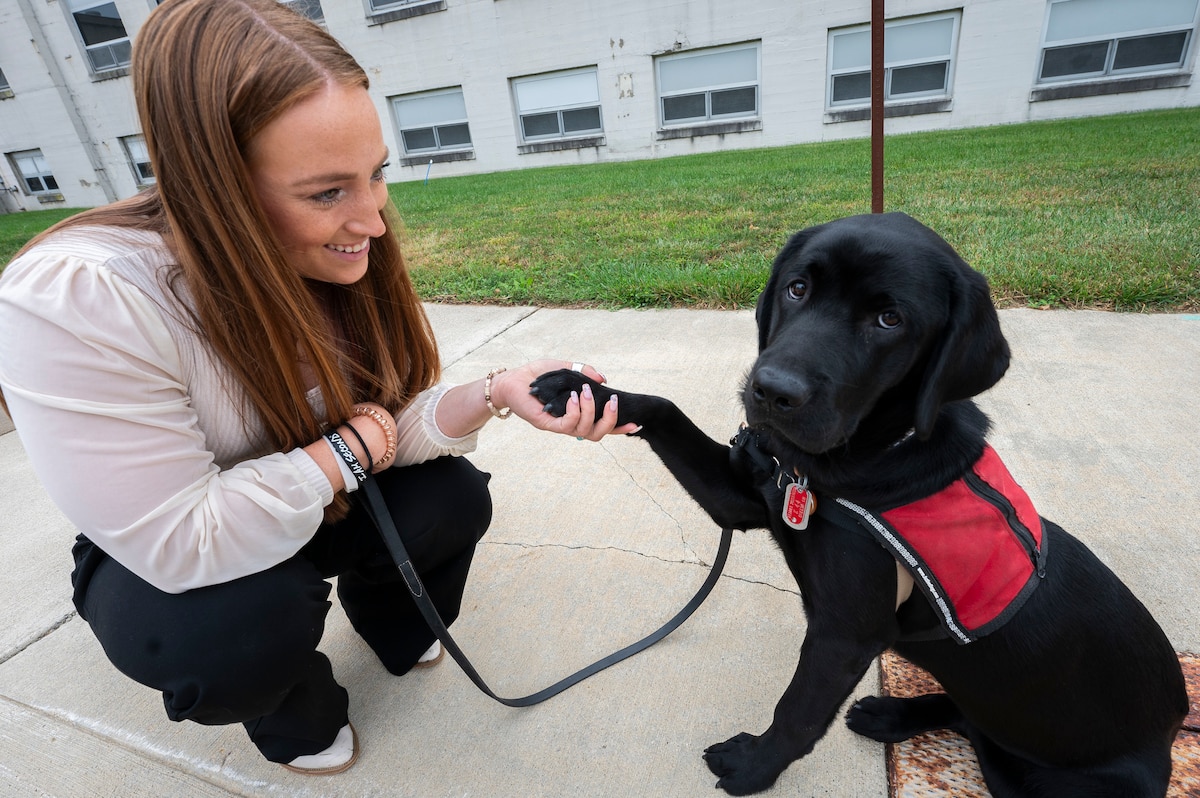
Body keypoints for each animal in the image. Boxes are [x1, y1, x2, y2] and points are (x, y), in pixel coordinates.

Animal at [535, 213, 1190, 796]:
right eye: (798, 288)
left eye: (888, 319)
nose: (771, 391)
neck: (849, 464)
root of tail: (1176, 729)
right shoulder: (744, 499)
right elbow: (664, 406)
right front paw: (575, 388)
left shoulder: (844, 634)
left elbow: (796, 713)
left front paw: (753, 770)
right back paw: (892, 717)